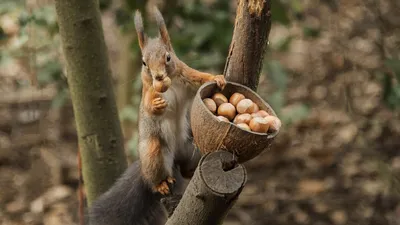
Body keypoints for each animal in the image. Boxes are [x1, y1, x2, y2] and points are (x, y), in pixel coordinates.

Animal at [88, 5, 227, 225]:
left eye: (168, 57)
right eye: (144, 63)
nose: (159, 76)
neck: (170, 82)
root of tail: (177, 155)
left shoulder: (187, 75)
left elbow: (200, 78)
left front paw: (217, 78)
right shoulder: (148, 90)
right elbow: (147, 106)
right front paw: (156, 105)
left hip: (191, 150)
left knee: (186, 168)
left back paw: (190, 169)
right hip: (154, 152)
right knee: (154, 177)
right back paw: (160, 183)